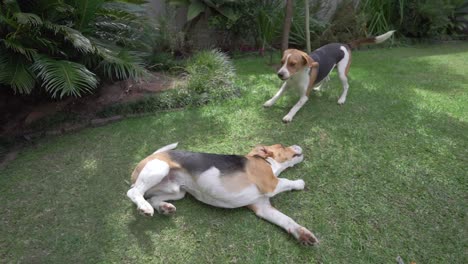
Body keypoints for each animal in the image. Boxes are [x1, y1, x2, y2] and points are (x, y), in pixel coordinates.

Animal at [126, 142, 320, 245]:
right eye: (282, 146)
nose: (297, 145)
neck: (268, 163)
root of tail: (150, 156)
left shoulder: (263, 207)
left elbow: (287, 220)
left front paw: (302, 234)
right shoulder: (271, 184)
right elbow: (286, 181)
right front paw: (299, 183)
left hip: (177, 191)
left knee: (153, 198)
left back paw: (164, 207)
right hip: (159, 168)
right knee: (133, 191)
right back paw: (144, 207)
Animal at [264, 30, 394, 123]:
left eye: (293, 64)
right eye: (282, 62)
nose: (280, 74)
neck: (297, 76)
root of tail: (345, 44)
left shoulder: (304, 96)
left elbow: (295, 106)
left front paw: (289, 116)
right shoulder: (286, 85)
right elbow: (277, 95)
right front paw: (270, 102)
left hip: (342, 72)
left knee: (346, 86)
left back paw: (342, 99)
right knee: (327, 78)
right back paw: (319, 88)